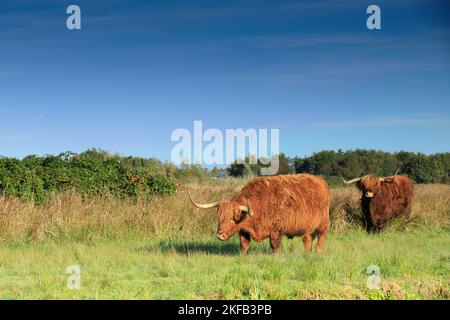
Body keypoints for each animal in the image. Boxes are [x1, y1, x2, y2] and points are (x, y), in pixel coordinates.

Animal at [188, 174, 328, 254]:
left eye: (233, 219)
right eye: (219, 218)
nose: (219, 235)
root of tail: (320, 180)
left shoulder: (276, 230)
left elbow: (274, 246)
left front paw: (275, 257)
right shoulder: (244, 231)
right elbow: (244, 245)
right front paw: (242, 257)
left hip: (323, 224)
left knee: (320, 238)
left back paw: (318, 253)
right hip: (308, 228)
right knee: (308, 239)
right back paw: (307, 254)